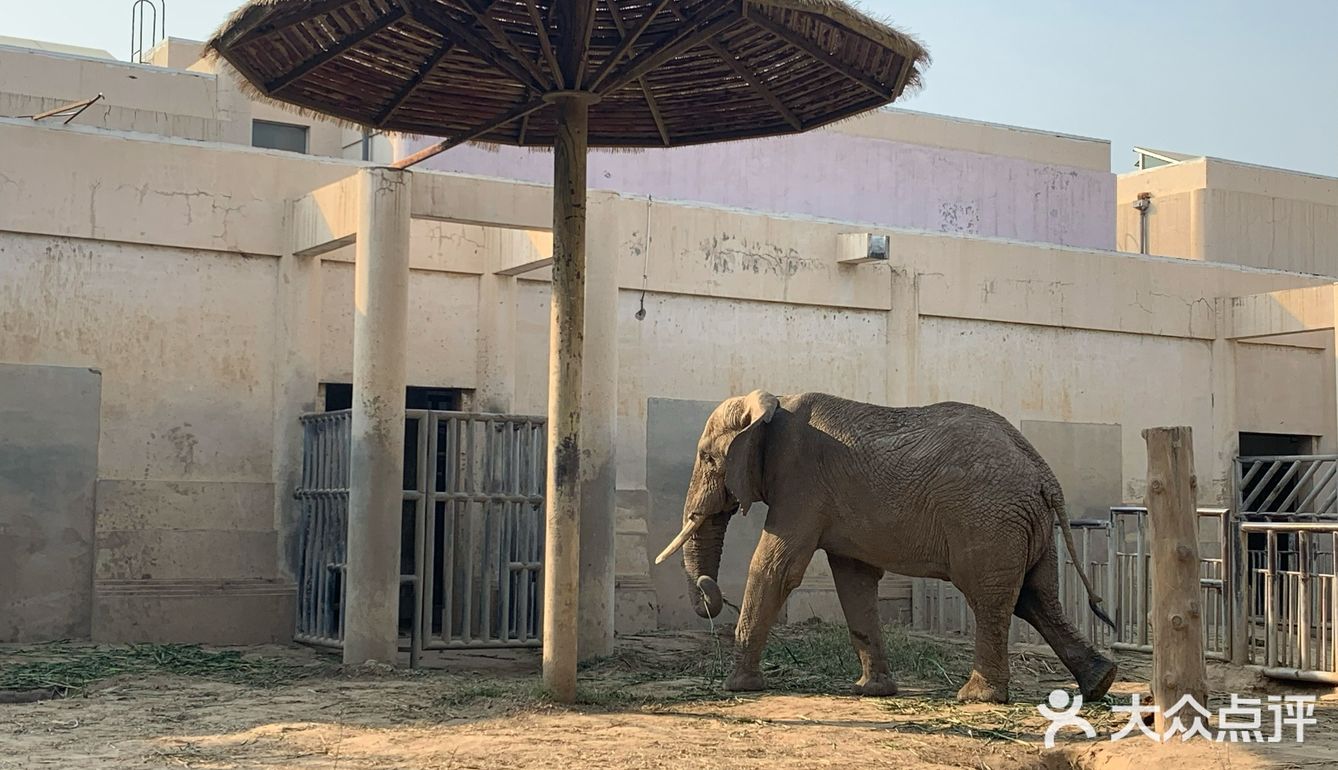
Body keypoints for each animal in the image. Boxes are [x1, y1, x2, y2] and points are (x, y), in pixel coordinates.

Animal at [652, 391, 1113, 707]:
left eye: (707, 458)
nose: (709, 592)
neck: (774, 402)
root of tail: (1044, 473)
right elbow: (853, 582)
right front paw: (872, 691)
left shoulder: (801, 484)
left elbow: (775, 568)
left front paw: (738, 686)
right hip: (1026, 524)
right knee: (1037, 599)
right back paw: (1100, 682)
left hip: (989, 520)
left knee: (991, 598)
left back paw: (977, 697)